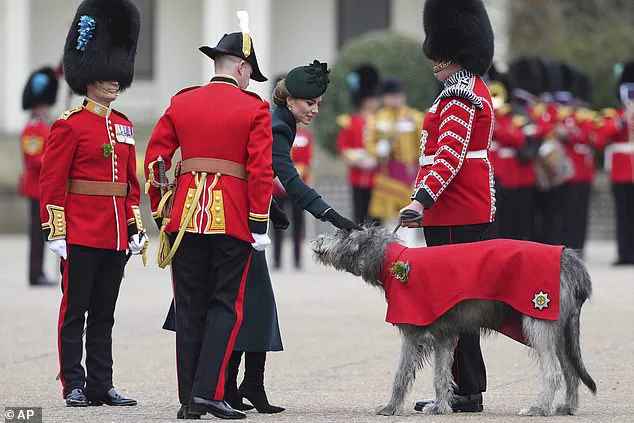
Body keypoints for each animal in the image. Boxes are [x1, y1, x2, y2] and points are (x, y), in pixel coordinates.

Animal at [308, 227, 596, 416]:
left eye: (338, 233)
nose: (314, 240)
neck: (395, 261)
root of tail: (570, 260)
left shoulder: (414, 331)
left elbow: (401, 372)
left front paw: (390, 407)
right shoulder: (444, 335)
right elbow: (441, 374)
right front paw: (440, 406)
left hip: (538, 320)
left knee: (553, 371)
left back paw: (541, 408)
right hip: (560, 328)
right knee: (570, 369)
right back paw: (567, 407)